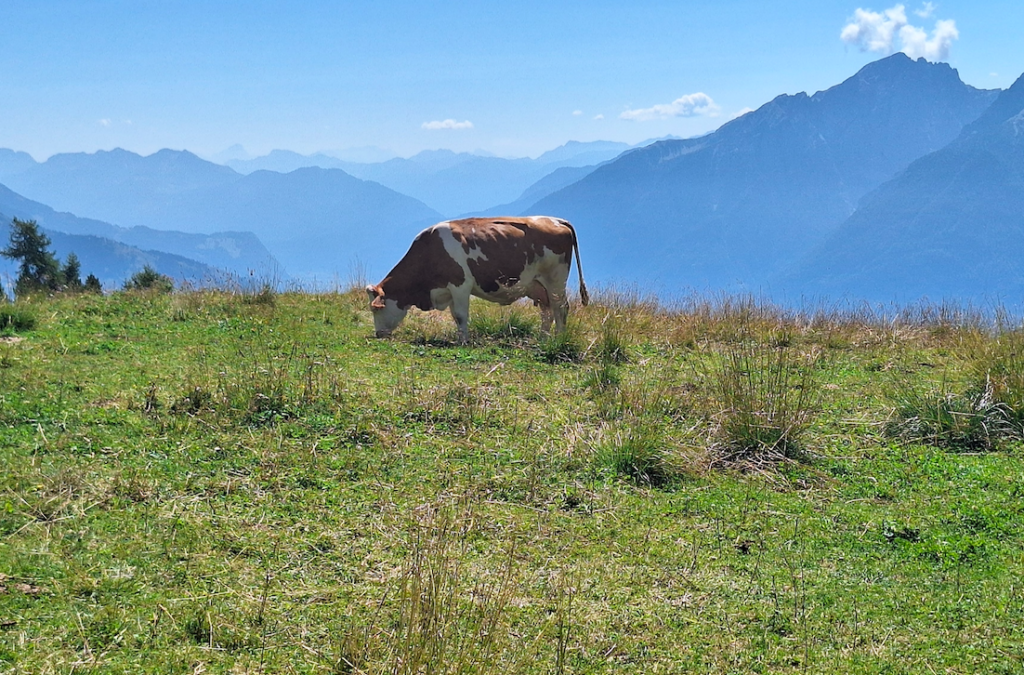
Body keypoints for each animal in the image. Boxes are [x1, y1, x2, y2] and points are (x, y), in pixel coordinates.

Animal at [366, 216, 589, 343]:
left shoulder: (460, 285)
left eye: (376, 309)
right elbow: (456, 316)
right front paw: (461, 338)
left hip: (555, 280)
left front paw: (464, 341)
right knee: (547, 311)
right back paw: (543, 339)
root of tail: (556, 219)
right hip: (538, 285)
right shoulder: (448, 290)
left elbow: (461, 316)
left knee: (561, 308)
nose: (378, 334)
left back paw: (558, 339)